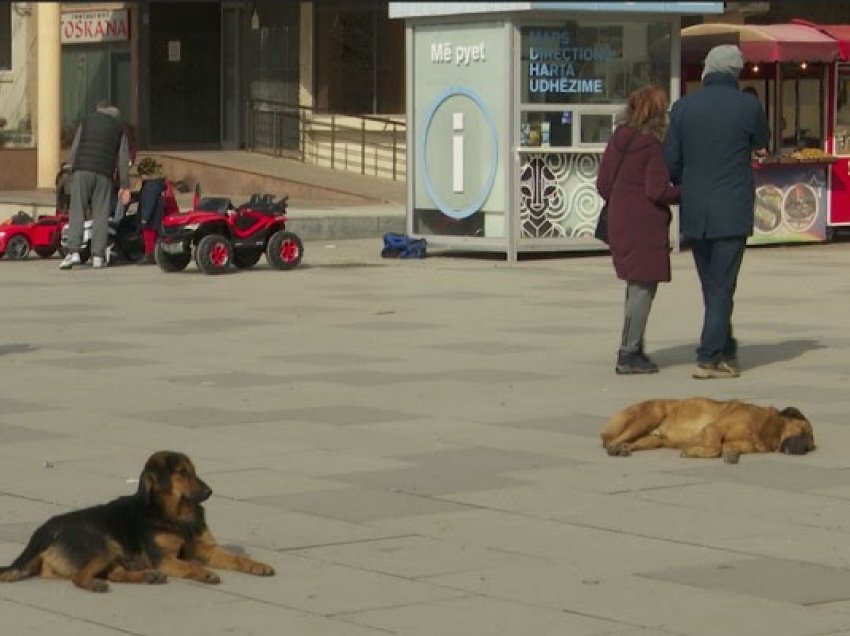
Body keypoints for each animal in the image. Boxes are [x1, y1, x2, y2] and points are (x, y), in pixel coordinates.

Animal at [0, 452, 274, 592]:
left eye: (194, 471)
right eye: (182, 473)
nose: (209, 491)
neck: (175, 514)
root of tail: (40, 534)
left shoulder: (208, 549)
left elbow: (238, 558)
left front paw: (258, 565)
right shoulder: (164, 559)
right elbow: (189, 565)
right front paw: (204, 573)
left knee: (115, 573)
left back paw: (147, 577)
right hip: (102, 543)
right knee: (80, 576)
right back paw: (96, 584)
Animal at [600, 398, 812, 462]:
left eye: (810, 446)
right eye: (803, 431)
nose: (804, 450)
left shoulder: (741, 444)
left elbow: (729, 448)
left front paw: (731, 455)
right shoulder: (713, 428)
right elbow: (714, 448)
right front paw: (691, 452)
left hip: (653, 439)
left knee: (632, 442)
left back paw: (624, 448)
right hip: (650, 415)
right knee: (609, 441)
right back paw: (615, 448)